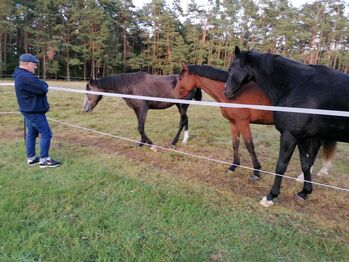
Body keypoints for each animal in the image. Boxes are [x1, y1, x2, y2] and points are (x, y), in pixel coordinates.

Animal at [175, 64, 334, 181]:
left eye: (180, 78)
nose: (175, 96)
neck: (233, 93)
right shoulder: (233, 123)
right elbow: (235, 144)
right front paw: (233, 166)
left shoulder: (243, 123)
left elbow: (249, 145)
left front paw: (256, 172)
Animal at [224, 46, 346, 207]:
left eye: (231, 68)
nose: (226, 92)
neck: (298, 85)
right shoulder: (302, 137)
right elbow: (305, 163)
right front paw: (304, 192)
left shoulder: (290, 135)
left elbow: (281, 165)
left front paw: (270, 197)